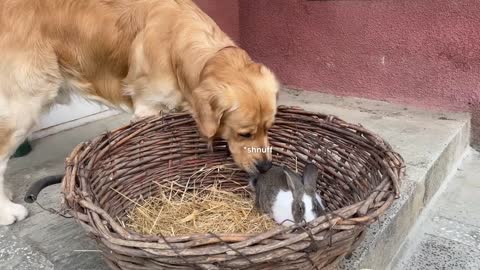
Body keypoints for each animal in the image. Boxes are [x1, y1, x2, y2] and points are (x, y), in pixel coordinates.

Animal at [0, 0, 280, 226]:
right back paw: (7, 212)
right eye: (244, 134)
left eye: (268, 128)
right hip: (24, 105)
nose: (266, 166)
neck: (177, 42)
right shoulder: (149, 109)